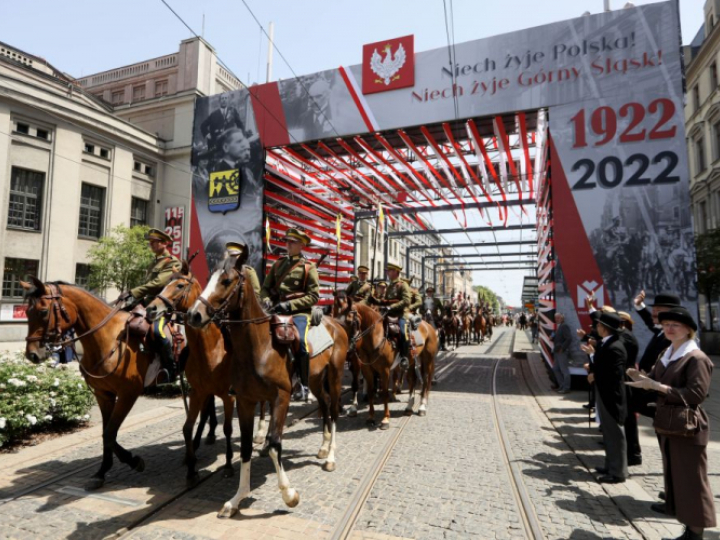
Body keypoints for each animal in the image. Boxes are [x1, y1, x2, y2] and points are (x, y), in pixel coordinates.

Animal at [22, 278, 149, 490]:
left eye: (43, 311)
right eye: (26, 312)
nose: (32, 355)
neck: (110, 340)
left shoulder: (128, 394)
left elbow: (109, 434)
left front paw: (133, 460)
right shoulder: (103, 395)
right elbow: (106, 433)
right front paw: (102, 472)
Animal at [186, 255, 348, 516]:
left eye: (226, 281)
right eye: (210, 277)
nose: (194, 314)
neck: (259, 347)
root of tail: (336, 323)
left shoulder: (281, 397)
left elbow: (274, 444)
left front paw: (289, 495)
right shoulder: (245, 400)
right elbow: (245, 448)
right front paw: (236, 499)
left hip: (335, 376)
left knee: (333, 410)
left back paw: (330, 456)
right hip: (314, 379)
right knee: (323, 403)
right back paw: (323, 447)